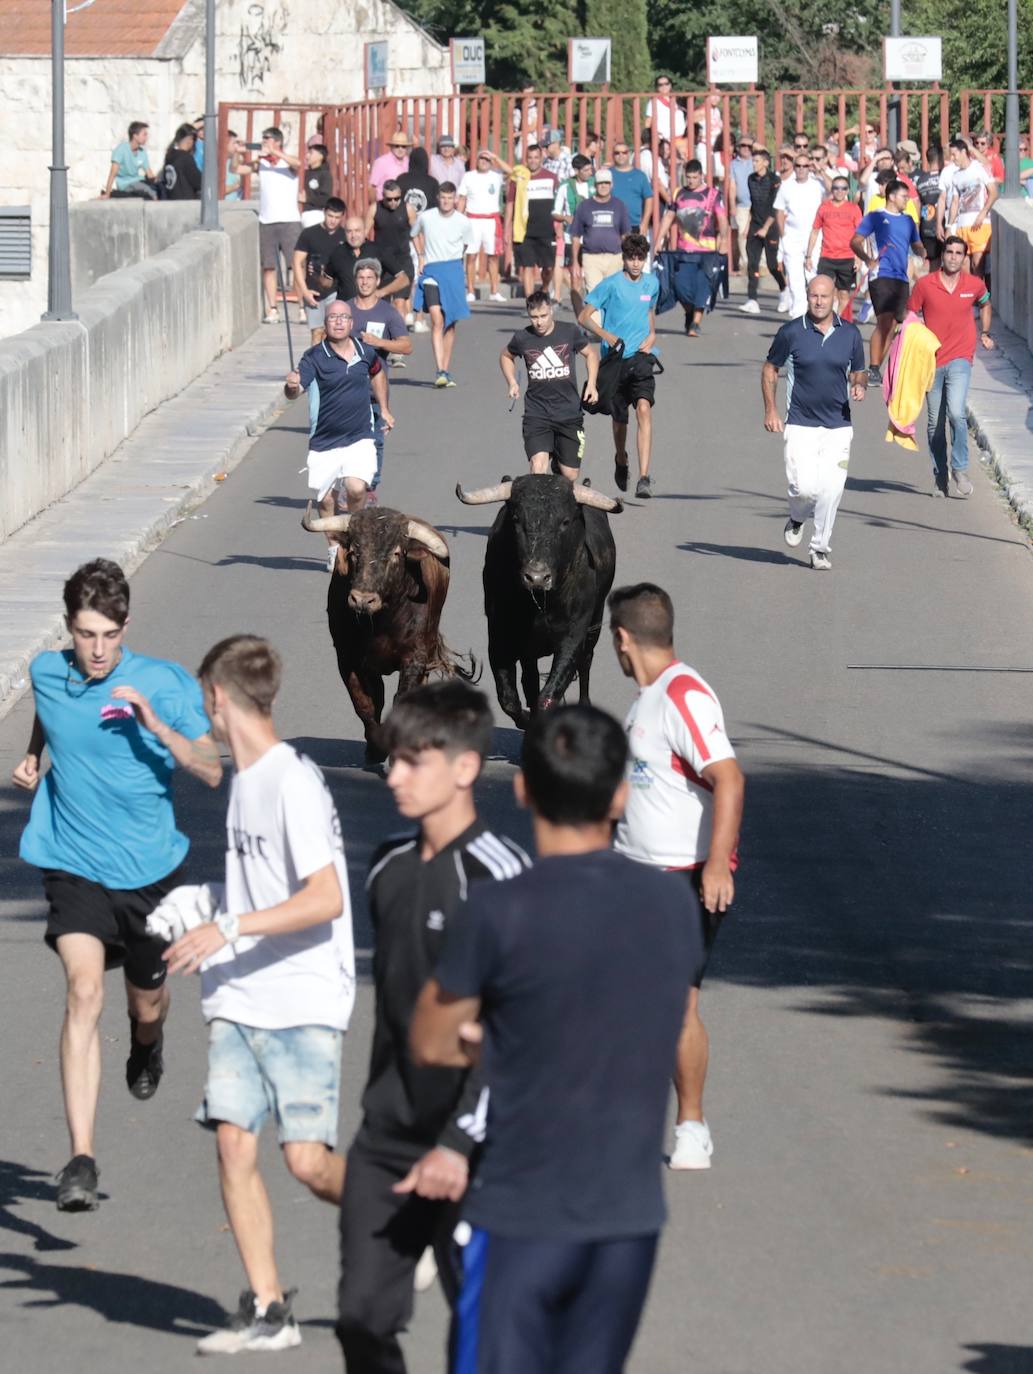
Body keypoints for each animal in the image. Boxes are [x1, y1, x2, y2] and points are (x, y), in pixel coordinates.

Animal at [300, 505, 475, 763]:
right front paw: (375, 749)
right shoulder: (348, 660)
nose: (362, 599)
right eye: (353, 551)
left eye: (395, 553)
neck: (380, 623)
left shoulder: (414, 657)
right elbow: (366, 704)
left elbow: (402, 699)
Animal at [453, 472, 618, 730]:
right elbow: (509, 698)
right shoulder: (500, 636)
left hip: (595, 624)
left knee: (585, 662)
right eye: (517, 519)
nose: (537, 576)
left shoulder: (573, 636)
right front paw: (525, 721)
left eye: (565, 521)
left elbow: (548, 695)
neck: (541, 604)